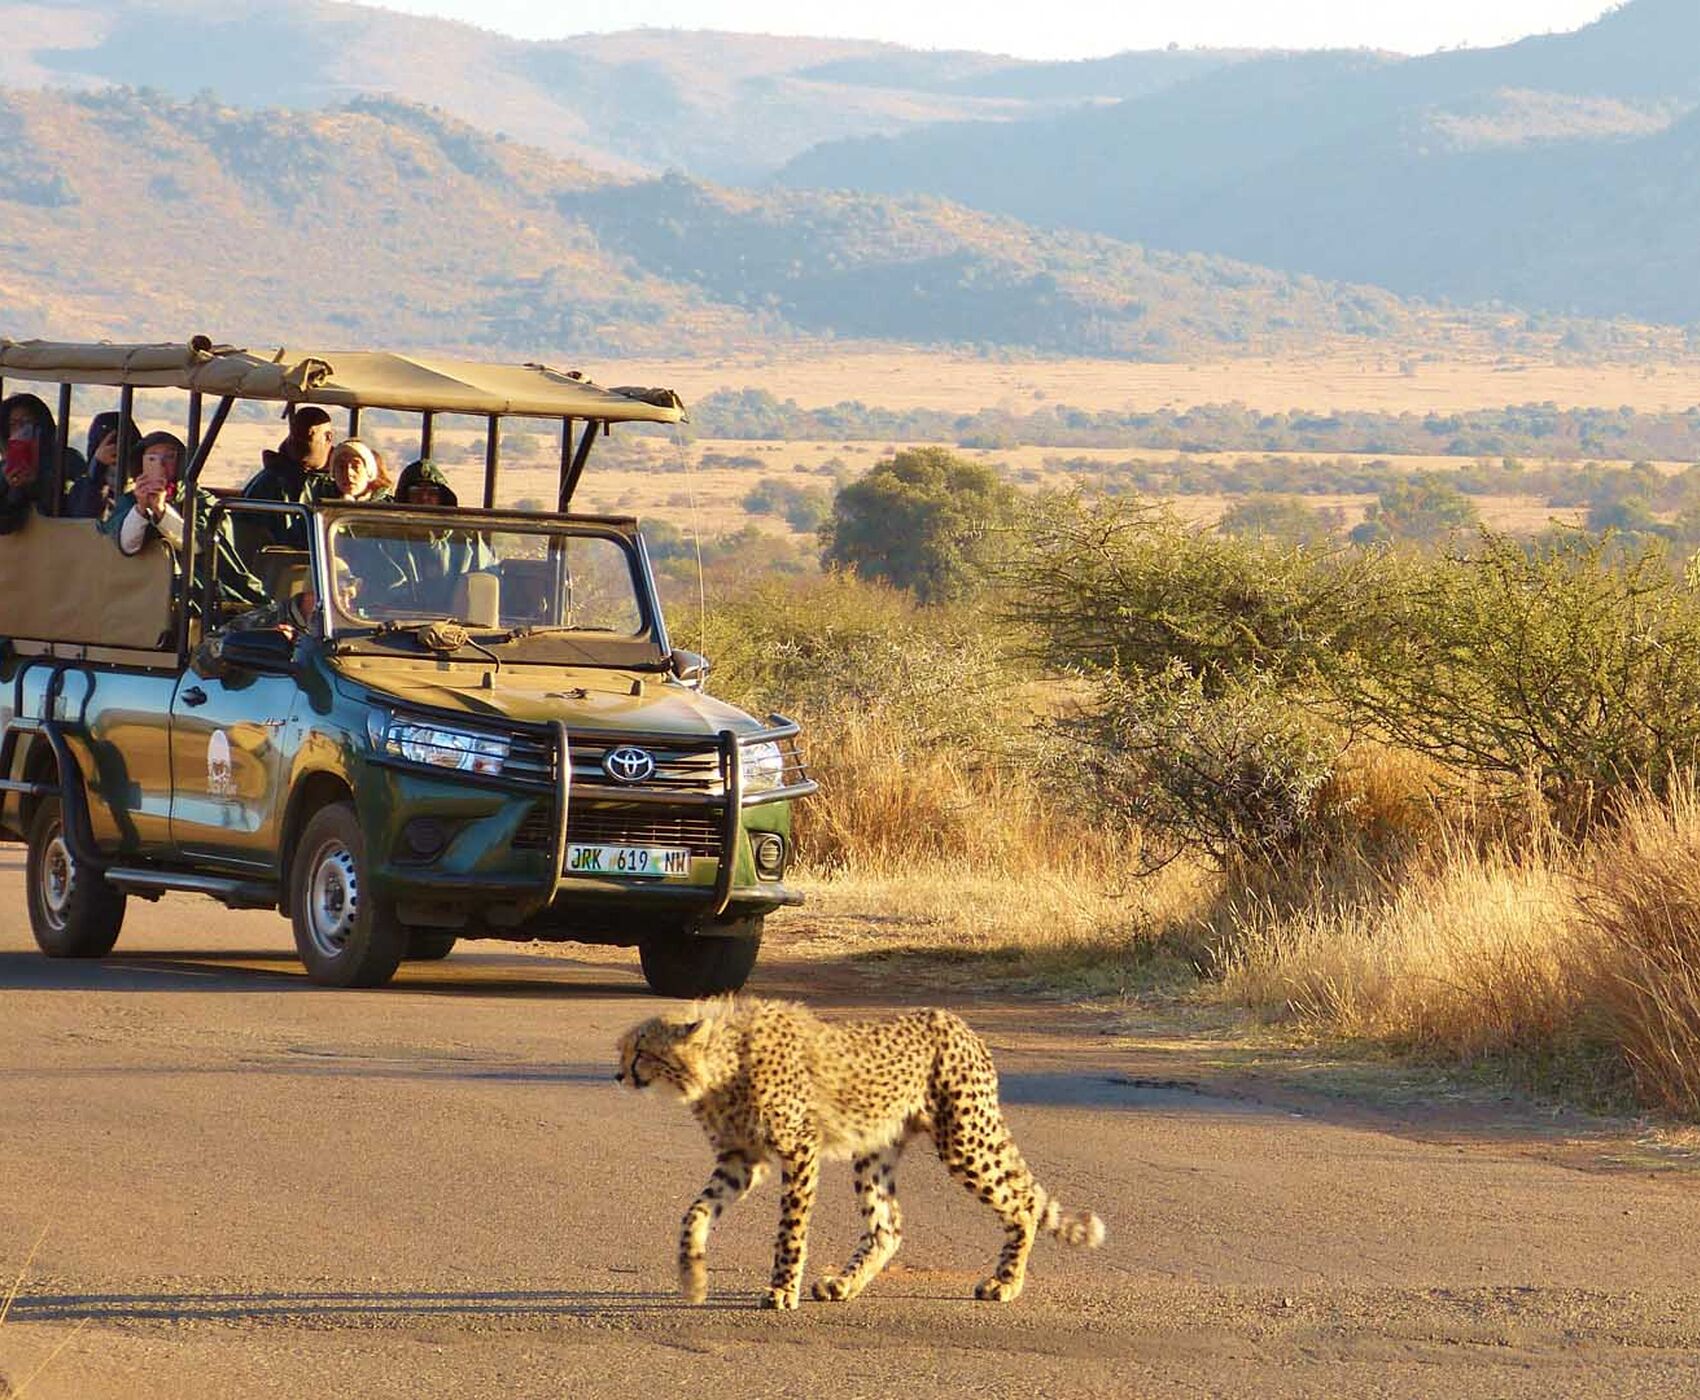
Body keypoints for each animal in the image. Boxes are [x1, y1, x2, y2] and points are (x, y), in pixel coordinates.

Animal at [612, 992, 1101, 1311]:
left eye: (640, 1051)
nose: (619, 1076)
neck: (724, 1059)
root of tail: (954, 1020)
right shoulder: (740, 1161)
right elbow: (693, 1214)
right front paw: (692, 1278)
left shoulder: (799, 1150)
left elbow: (790, 1229)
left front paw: (781, 1290)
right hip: (876, 1148)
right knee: (888, 1227)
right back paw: (843, 1285)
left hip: (965, 1139)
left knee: (1021, 1204)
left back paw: (1005, 1282)